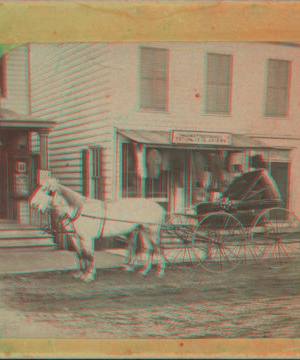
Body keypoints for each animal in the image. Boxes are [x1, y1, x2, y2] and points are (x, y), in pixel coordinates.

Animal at [29, 179, 166, 282]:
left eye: (45, 190)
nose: (31, 203)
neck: (79, 211)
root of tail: (159, 207)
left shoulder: (86, 238)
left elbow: (88, 255)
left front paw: (88, 275)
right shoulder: (77, 237)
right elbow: (81, 254)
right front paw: (81, 273)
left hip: (151, 231)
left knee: (157, 248)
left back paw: (159, 271)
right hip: (141, 230)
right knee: (148, 249)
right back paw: (143, 270)